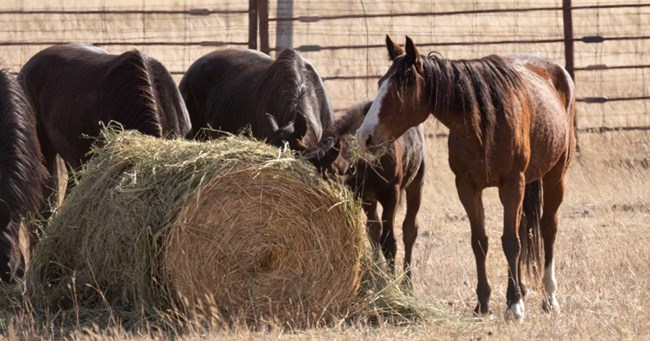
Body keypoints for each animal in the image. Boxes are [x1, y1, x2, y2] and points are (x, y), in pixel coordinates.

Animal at [308, 99, 426, 282]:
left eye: (327, 177)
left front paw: (390, 280)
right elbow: (373, 232)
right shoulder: (363, 195)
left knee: (410, 230)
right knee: (374, 230)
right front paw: (377, 273)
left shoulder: (392, 194)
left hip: (416, 182)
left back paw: (407, 283)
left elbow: (389, 241)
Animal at [354, 35, 576, 320]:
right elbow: (480, 242)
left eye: (402, 86)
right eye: (381, 82)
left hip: (555, 175)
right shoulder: (467, 187)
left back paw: (549, 296)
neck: (484, 122)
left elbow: (510, 242)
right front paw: (483, 303)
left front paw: (514, 305)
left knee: (548, 227)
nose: (365, 136)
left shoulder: (511, 184)